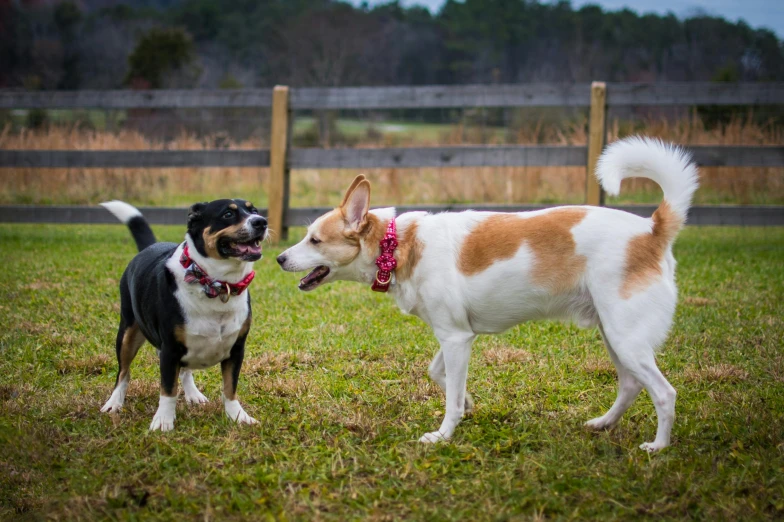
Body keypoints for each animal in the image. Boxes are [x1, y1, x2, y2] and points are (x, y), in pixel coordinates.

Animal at [100, 197, 266, 428]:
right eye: (228, 214)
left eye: (254, 210)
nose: (261, 222)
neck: (216, 284)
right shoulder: (169, 350)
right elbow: (168, 390)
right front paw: (163, 421)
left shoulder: (236, 349)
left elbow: (229, 388)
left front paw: (238, 416)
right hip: (127, 332)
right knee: (123, 372)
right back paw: (114, 403)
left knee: (186, 371)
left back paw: (193, 394)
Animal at [276, 136, 700, 448]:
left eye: (314, 240)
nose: (279, 257)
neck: (395, 245)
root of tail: (652, 229)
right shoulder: (456, 336)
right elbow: (440, 376)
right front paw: (467, 402)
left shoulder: (456, 338)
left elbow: (447, 400)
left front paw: (443, 434)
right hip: (613, 334)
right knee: (630, 385)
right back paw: (603, 424)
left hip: (626, 337)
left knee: (664, 394)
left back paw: (658, 448)